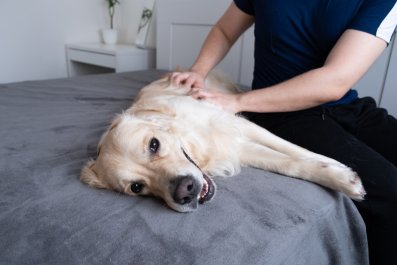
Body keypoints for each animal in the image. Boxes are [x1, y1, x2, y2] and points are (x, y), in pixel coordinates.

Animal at [79, 71, 366, 211]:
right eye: (137, 187)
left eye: (154, 144)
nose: (185, 191)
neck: (196, 142)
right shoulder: (239, 147)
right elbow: (289, 164)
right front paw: (338, 176)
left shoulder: (236, 124)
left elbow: (292, 149)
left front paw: (337, 166)